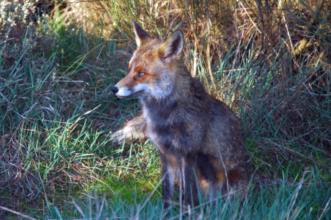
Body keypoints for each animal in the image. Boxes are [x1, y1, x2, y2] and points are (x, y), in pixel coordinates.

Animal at [111, 21, 252, 208]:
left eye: (141, 74)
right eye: (129, 69)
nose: (114, 89)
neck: (164, 117)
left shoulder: (188, 153)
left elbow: (186, 195)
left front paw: (185, 211)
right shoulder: (165, 154)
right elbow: (167, 193)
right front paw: (166, 211)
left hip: (216, 171)